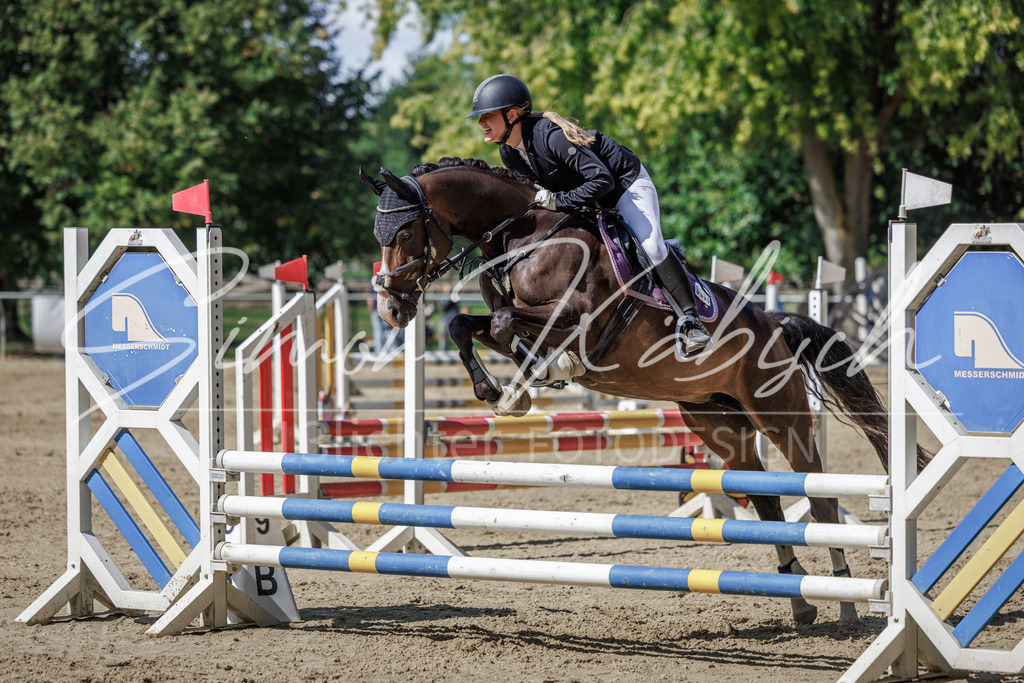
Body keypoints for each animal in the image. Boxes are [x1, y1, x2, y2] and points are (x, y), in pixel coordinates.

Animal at [360, 156, 924, 625]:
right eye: (378, 233)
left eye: (405, 230)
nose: (390, 308)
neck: (523, 236)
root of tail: (775, 323)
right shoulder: (510, 316)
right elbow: (467, 323)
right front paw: (503, 387)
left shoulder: (581, 318)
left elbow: (506, 324)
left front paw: (539, 373)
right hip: (717, 422)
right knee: (765, 500)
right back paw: (800, 603)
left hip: (779, 413)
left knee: (819, 496)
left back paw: (845, 602)